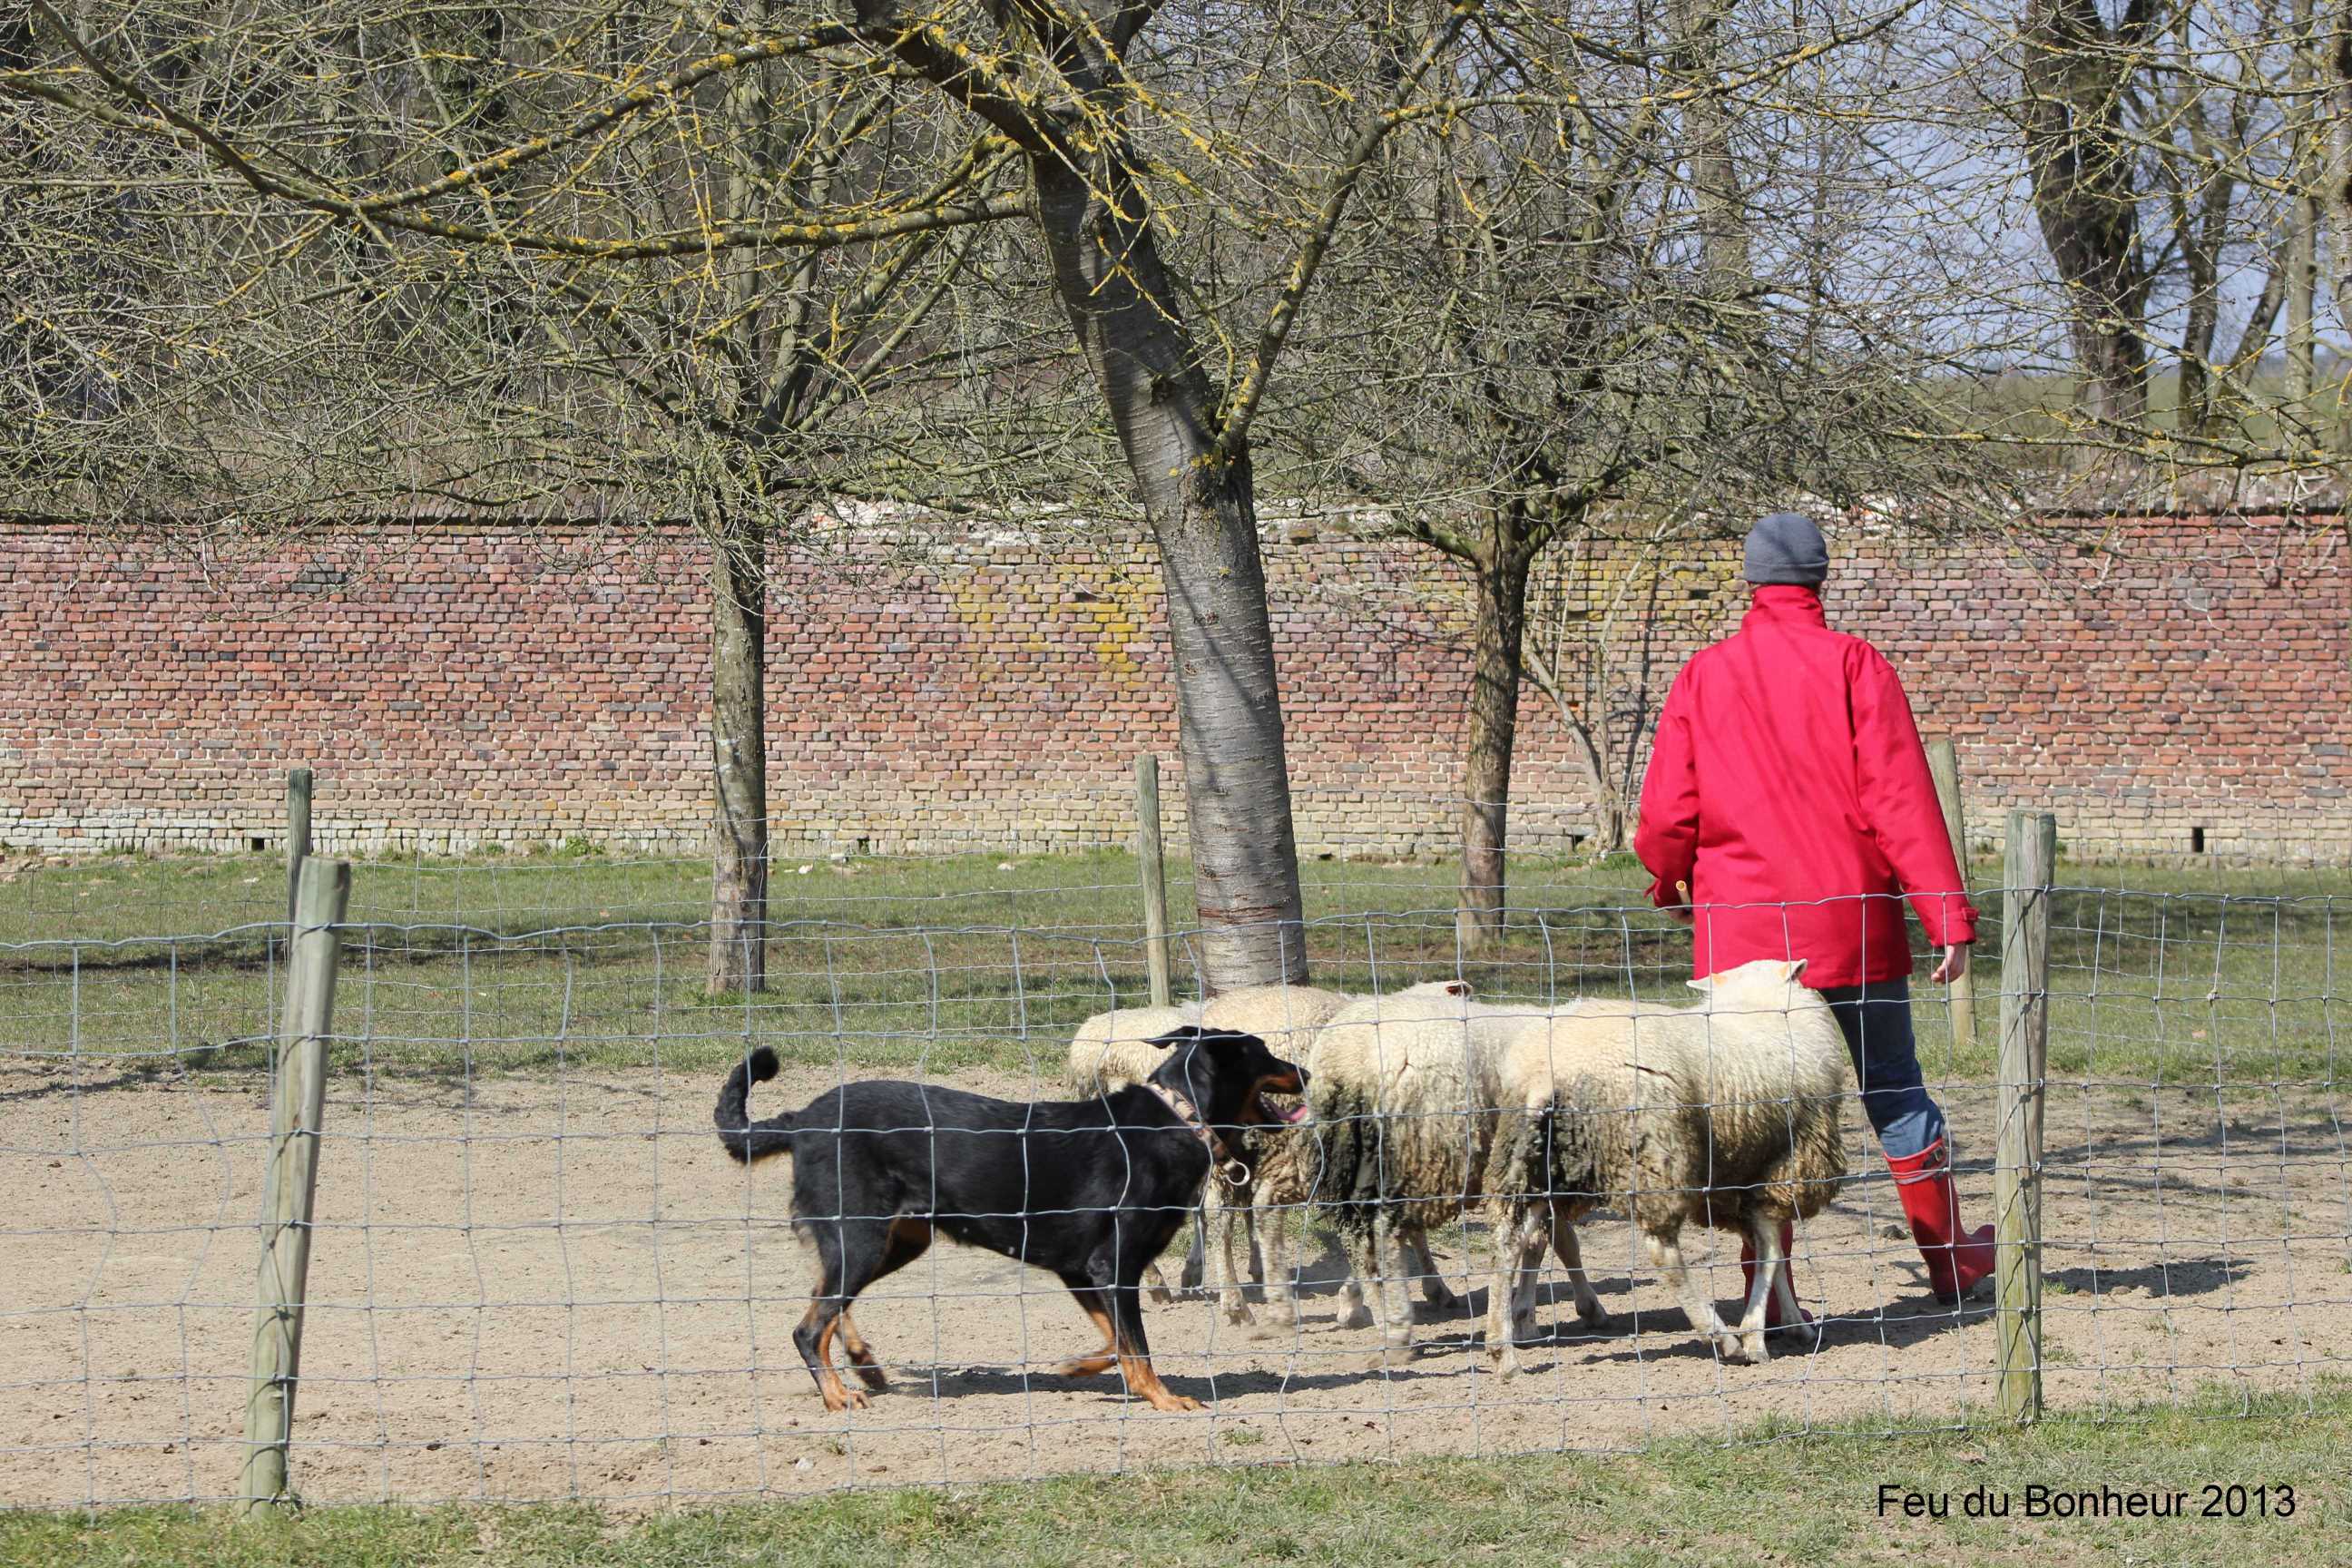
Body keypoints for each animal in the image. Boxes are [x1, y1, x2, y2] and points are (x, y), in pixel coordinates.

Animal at [714, 1029, 1308, 1410]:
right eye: (1264, 1052)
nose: (1303, 1070)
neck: (1177, 1119)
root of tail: (801, 1120)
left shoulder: (1081, 1271)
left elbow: (1114, 1343)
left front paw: (1076, 1366)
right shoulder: (1111, 1265)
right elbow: (1136, 1347)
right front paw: (1165, 1399)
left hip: (893, 1240)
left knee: (827, 1299)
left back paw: (863, 1364)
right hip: (863, 1236)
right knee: (810, 1325)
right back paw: (839, 1394)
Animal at [1486, 949, 1853, 1363]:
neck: (1755, 1004)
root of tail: (1546, 1072)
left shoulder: (1736, 1178)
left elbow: (1766, 1251)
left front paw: (1791, 1322)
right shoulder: (1782, 1167)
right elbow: (1772, 1254)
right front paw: (1756, 1336)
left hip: (1535, 1161)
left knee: (1509, 1240)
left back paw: (1503, 1350)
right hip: (1653, 1153)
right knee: (1663, 1253)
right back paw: (1721, 1338)